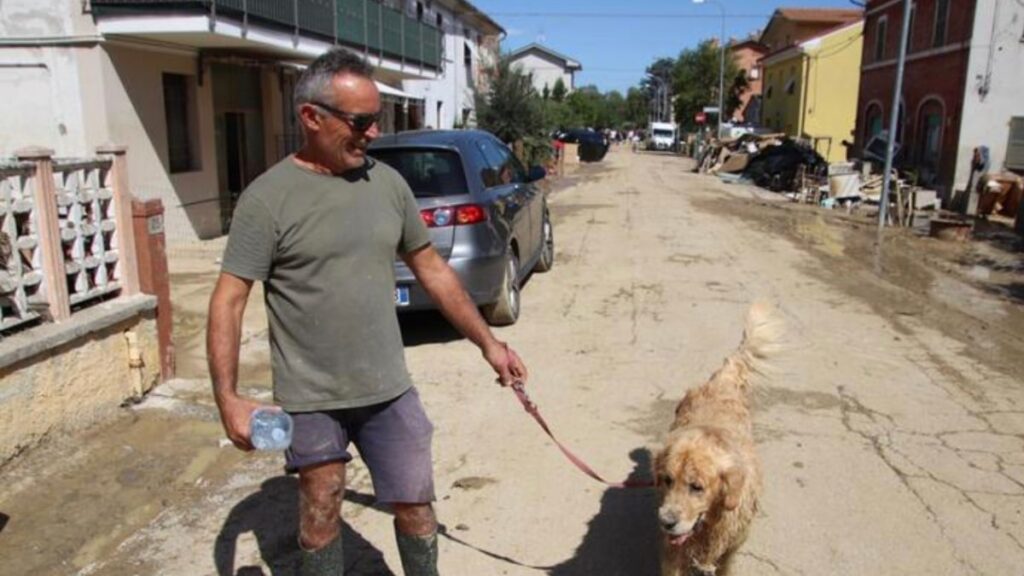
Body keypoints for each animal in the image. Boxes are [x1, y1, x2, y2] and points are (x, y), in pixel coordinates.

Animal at [655, 303, 782, 569]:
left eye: (697, 487)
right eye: (667, 480)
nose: (666, 522)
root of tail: (725, 378)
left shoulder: (732, 548)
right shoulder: (673, 554)